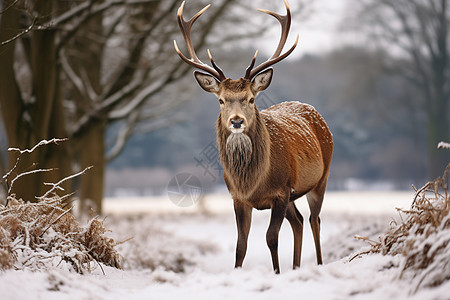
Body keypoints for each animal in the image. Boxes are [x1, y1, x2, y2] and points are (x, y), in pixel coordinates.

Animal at [174, 0, 332, 274]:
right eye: (221, 100)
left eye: (250, 98)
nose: (236, 120)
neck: (254, 181)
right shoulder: (238, 197)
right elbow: (241, 244)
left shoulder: (281, 191)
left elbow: (271, 238)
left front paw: (277, 272)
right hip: (294, 195)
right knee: (299, 221)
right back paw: (296, 267)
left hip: (321, 178)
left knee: (314, 219)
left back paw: (319, 264)